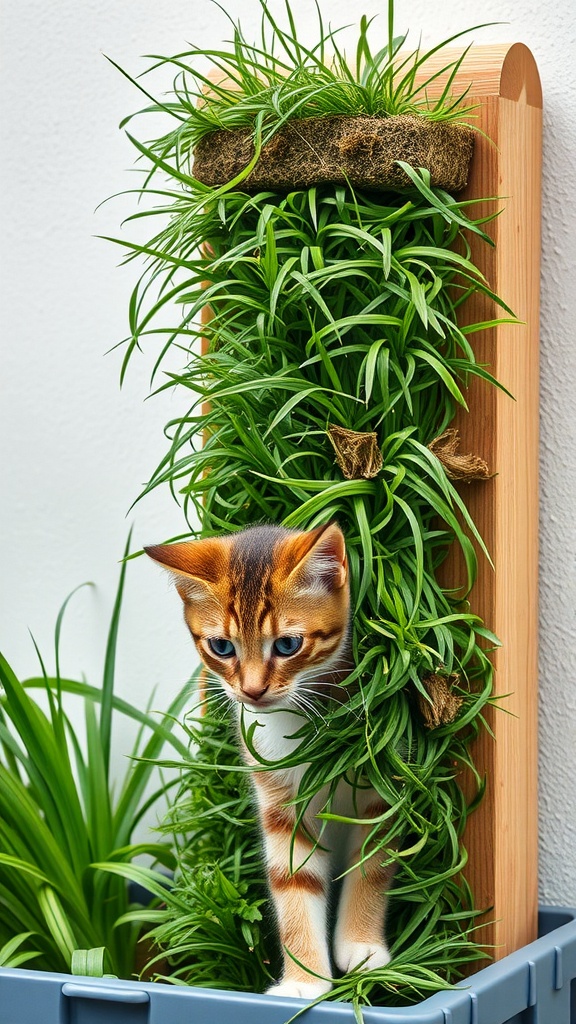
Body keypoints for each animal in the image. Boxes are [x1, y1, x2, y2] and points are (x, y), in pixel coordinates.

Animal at [145, 524, 391, 995]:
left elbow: (372, 862)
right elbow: (294, 878)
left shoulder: (381, 785)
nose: (252, 691)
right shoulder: (278, 800)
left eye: (288, 644)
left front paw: (362, 946)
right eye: (222, 647)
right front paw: (304, 981)